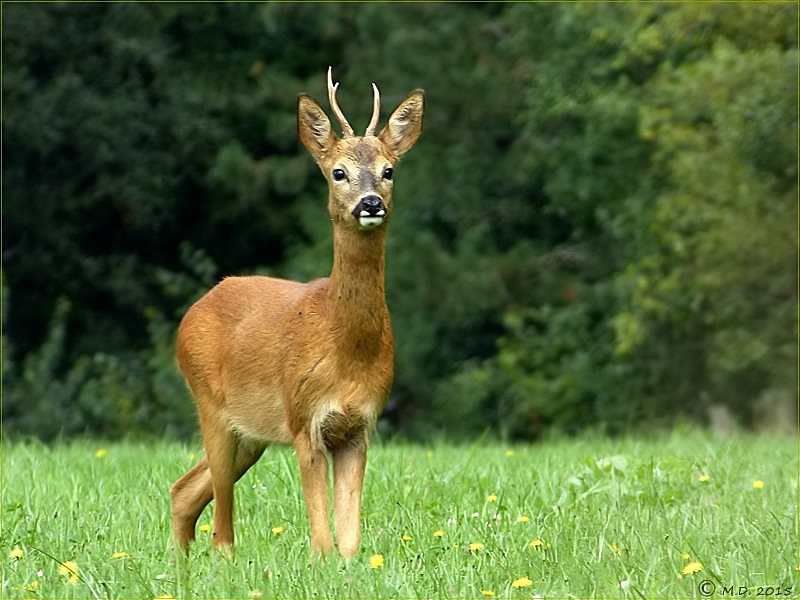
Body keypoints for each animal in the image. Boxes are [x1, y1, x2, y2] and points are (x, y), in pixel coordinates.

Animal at [170, 68, 424, 560]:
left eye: (388, 170)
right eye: (339, 172)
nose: (371, 203)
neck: (345, 349)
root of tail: (193, 311)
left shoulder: (360, 426)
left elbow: (350, 538)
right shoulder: (305, 418)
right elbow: (323, 538)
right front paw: (320, 562)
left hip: (251, 435)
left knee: (184, 491)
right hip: (212, 404)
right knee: (221, 527)